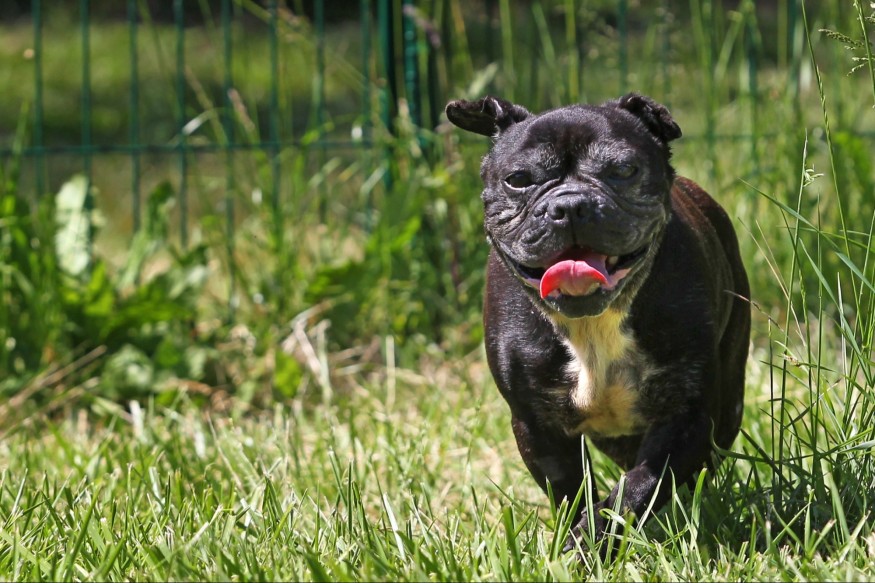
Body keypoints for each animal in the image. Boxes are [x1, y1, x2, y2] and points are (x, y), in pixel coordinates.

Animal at [445, 93, 750, 555]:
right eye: (518, 179)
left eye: (623, 170)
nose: (570, 205)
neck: (593, 324)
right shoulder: (538, 427)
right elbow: (573, 491)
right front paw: (578, 540)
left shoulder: (689, 416)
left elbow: (639, 486)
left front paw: (594, 538)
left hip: (728, 401)